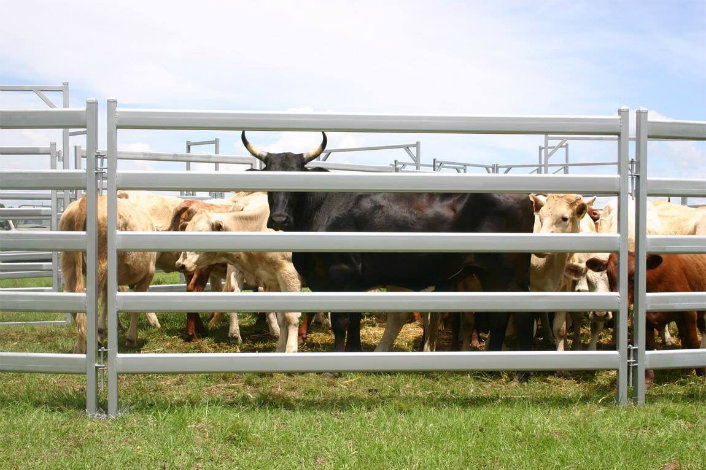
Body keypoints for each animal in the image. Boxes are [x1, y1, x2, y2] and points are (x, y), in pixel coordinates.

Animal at [59, 195, 156, 352]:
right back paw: (84, 344)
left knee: (71, 297)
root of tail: (84, 201)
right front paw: (131, 338)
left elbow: (106, 303)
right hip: (99, 265)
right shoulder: (148, 274)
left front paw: (101, 332)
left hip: (69, 261)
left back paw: (81, 345)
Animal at [239, 130, 532, 350]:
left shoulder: (340, 274)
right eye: (269, 176)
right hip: (491, 275)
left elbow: (341, 322)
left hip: (509, 274)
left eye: (298, 177)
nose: (279, 219)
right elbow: (354, 320)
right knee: (500, 316)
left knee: (517, 315)